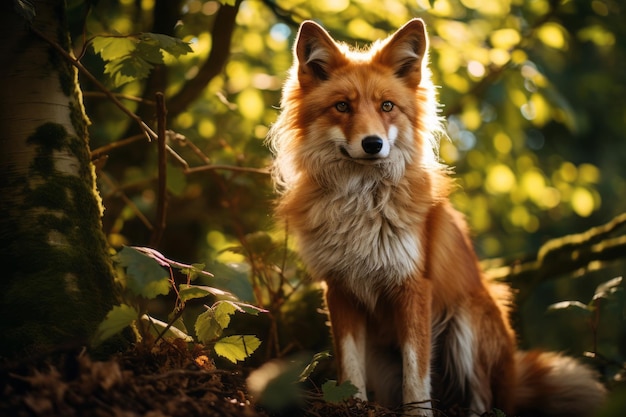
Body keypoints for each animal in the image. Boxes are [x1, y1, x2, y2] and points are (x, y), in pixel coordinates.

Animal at [266, 18, 604, 416]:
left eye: (387, 106)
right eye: (342, 106)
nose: (373, 144)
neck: (361, 204)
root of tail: (514, 379)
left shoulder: (413, 286)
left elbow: (416, 373)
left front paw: (417, 412)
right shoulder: (339, 288)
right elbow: (350, 368)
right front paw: (353, 406)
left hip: (466, 324)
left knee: (484, 400)